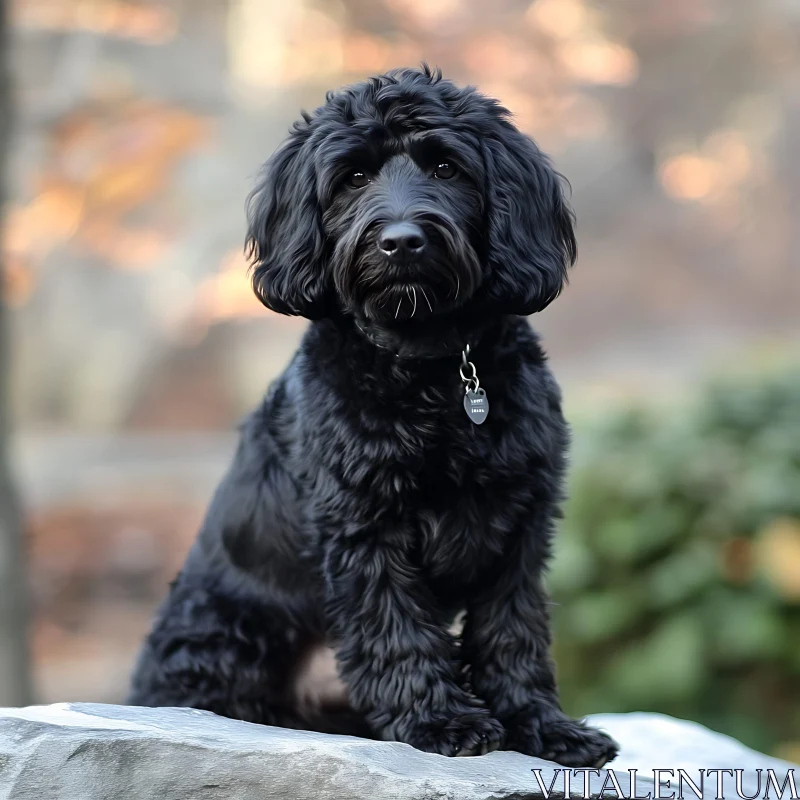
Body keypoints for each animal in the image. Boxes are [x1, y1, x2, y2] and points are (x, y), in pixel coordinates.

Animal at [130, 65, 620, 764]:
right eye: (354, 176)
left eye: (445, 166)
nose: (401, 242)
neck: (429, 370)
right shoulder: (364, 527)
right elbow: (396, 629)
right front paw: (442, 721)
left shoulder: (521, 527)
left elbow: (513, 632)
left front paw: (541, 725)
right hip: (224, 628)